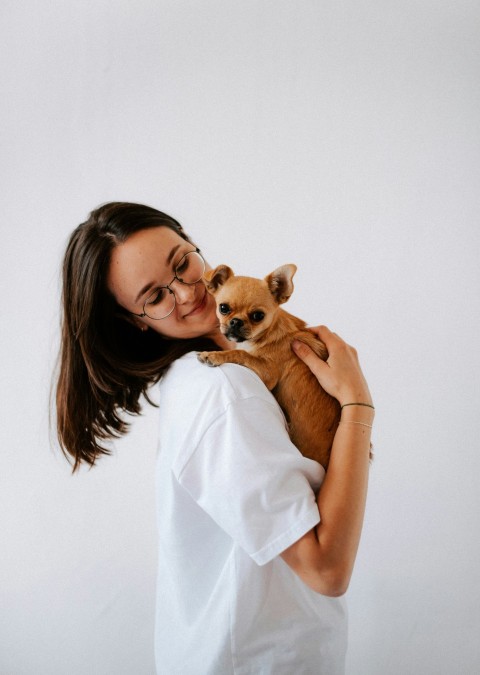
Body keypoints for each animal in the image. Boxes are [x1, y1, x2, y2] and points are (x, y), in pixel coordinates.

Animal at [198, 264, 342, 470]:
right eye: (223, 308)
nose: (236, 321)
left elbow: (240, 354)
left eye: (258, 316)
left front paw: (214, 355)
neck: (263, 336)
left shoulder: (268, 374)